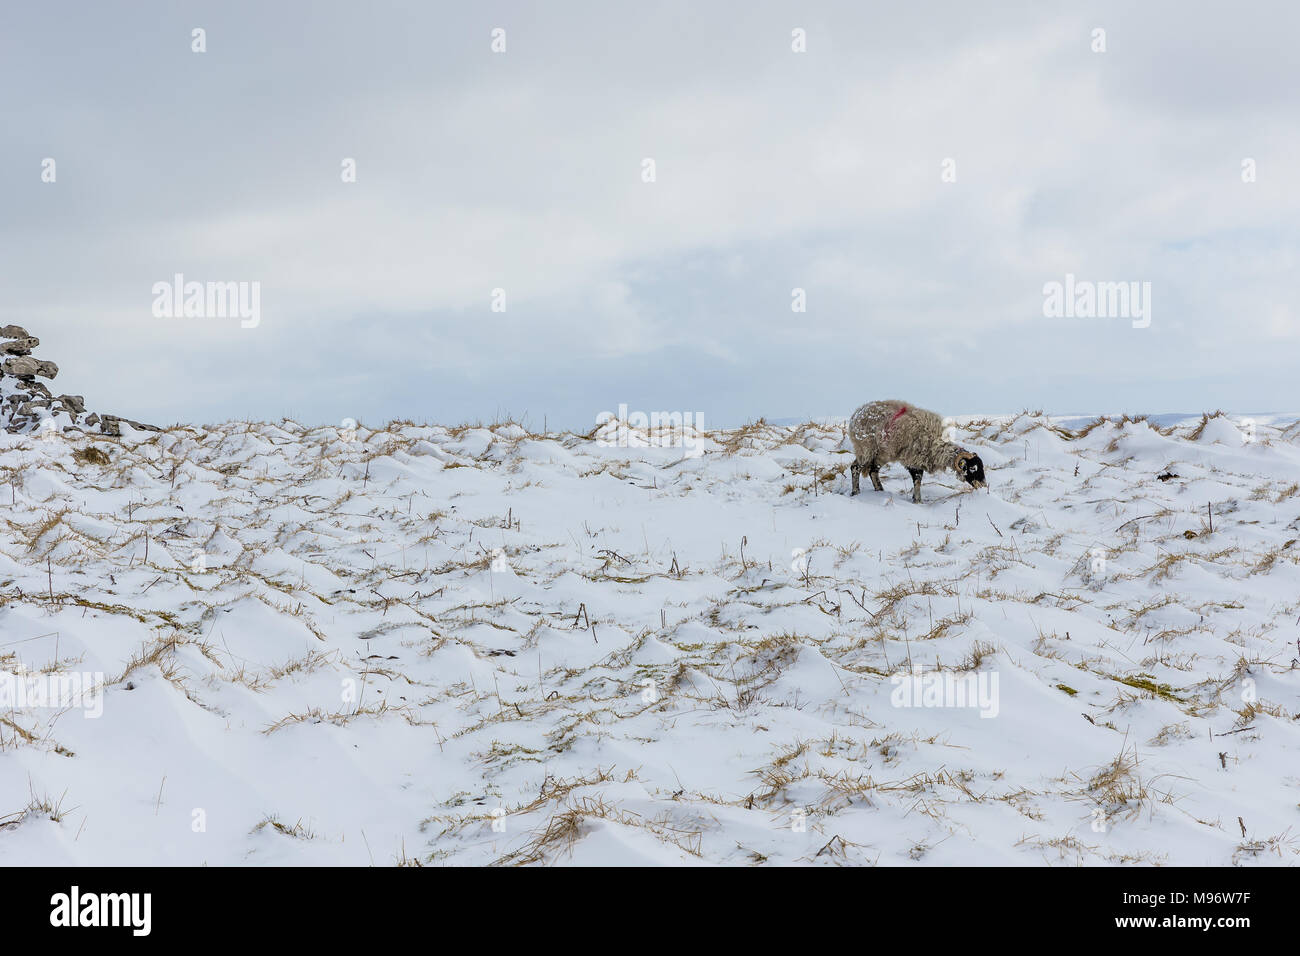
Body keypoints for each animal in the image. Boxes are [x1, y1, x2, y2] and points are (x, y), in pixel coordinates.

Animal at [842, 400, 982, 504]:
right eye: (972, 468)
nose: (982, 485)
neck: (936, 442)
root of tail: (857, 413)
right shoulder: (913, 459)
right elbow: (918, 480)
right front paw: (918, 500)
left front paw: (916, 499)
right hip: (865, 448)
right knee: (855, 468)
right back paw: (856, 492)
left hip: (882, 454)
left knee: (873, 471)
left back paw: (880, 491)